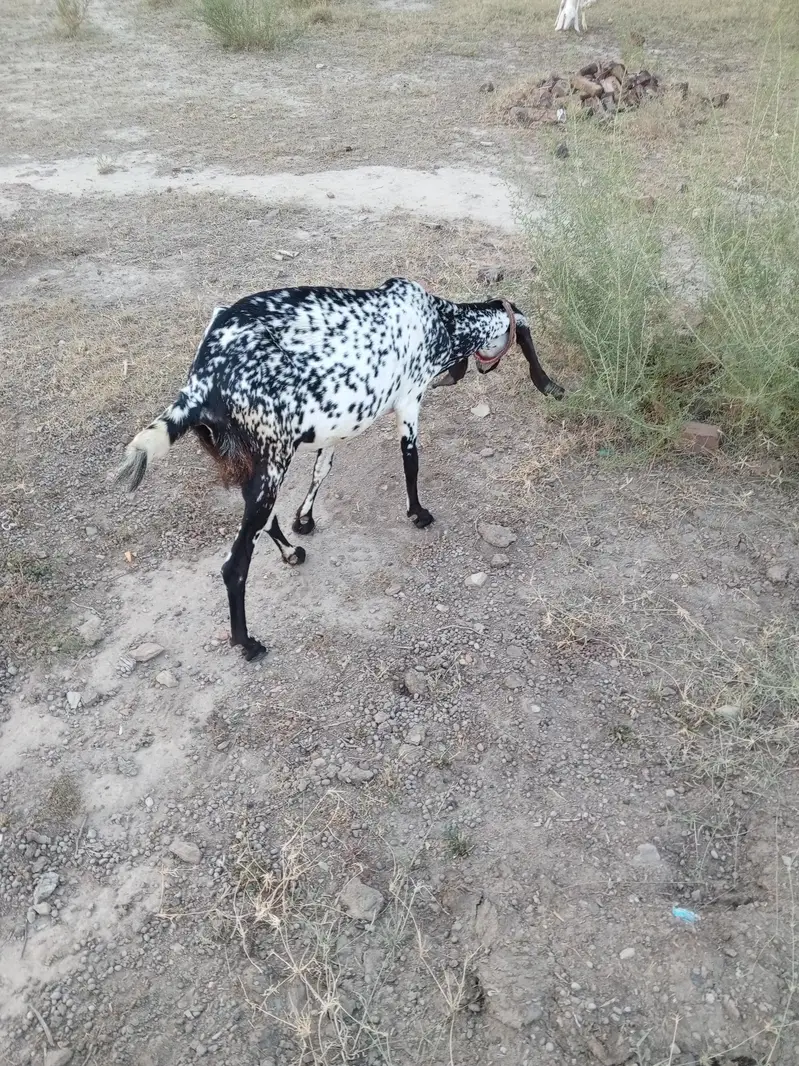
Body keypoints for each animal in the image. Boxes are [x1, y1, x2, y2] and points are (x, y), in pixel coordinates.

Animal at [116, 278, 564, 661]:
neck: (441, 321)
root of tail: (200, 386)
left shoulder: (331, 427)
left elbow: (323, 469)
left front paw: (305, 519)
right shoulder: (409, 402)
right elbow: (411, 462)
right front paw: (418, 513)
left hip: (256, 464)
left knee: (263, 519)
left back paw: (291, 552)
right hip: (273, 458)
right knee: (235, 565)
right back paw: (247, 643)